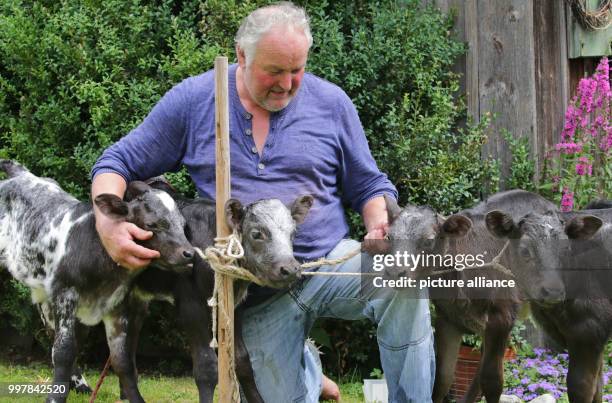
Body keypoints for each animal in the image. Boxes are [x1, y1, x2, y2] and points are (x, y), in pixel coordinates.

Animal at [0, 161, 194, 403]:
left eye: (183, 225)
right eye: (153, 224)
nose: (189, 253)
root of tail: (20, 174)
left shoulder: (117, 305)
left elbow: (122, 360)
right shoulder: (66, 294)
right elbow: (64, 351)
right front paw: (55, 398)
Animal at [384, 190, 556, 403]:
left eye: (429, 240)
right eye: (388, 236)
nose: (394, 272)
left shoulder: (502, 316)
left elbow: (493, 380)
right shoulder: (447, 318)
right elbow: (443, 377)